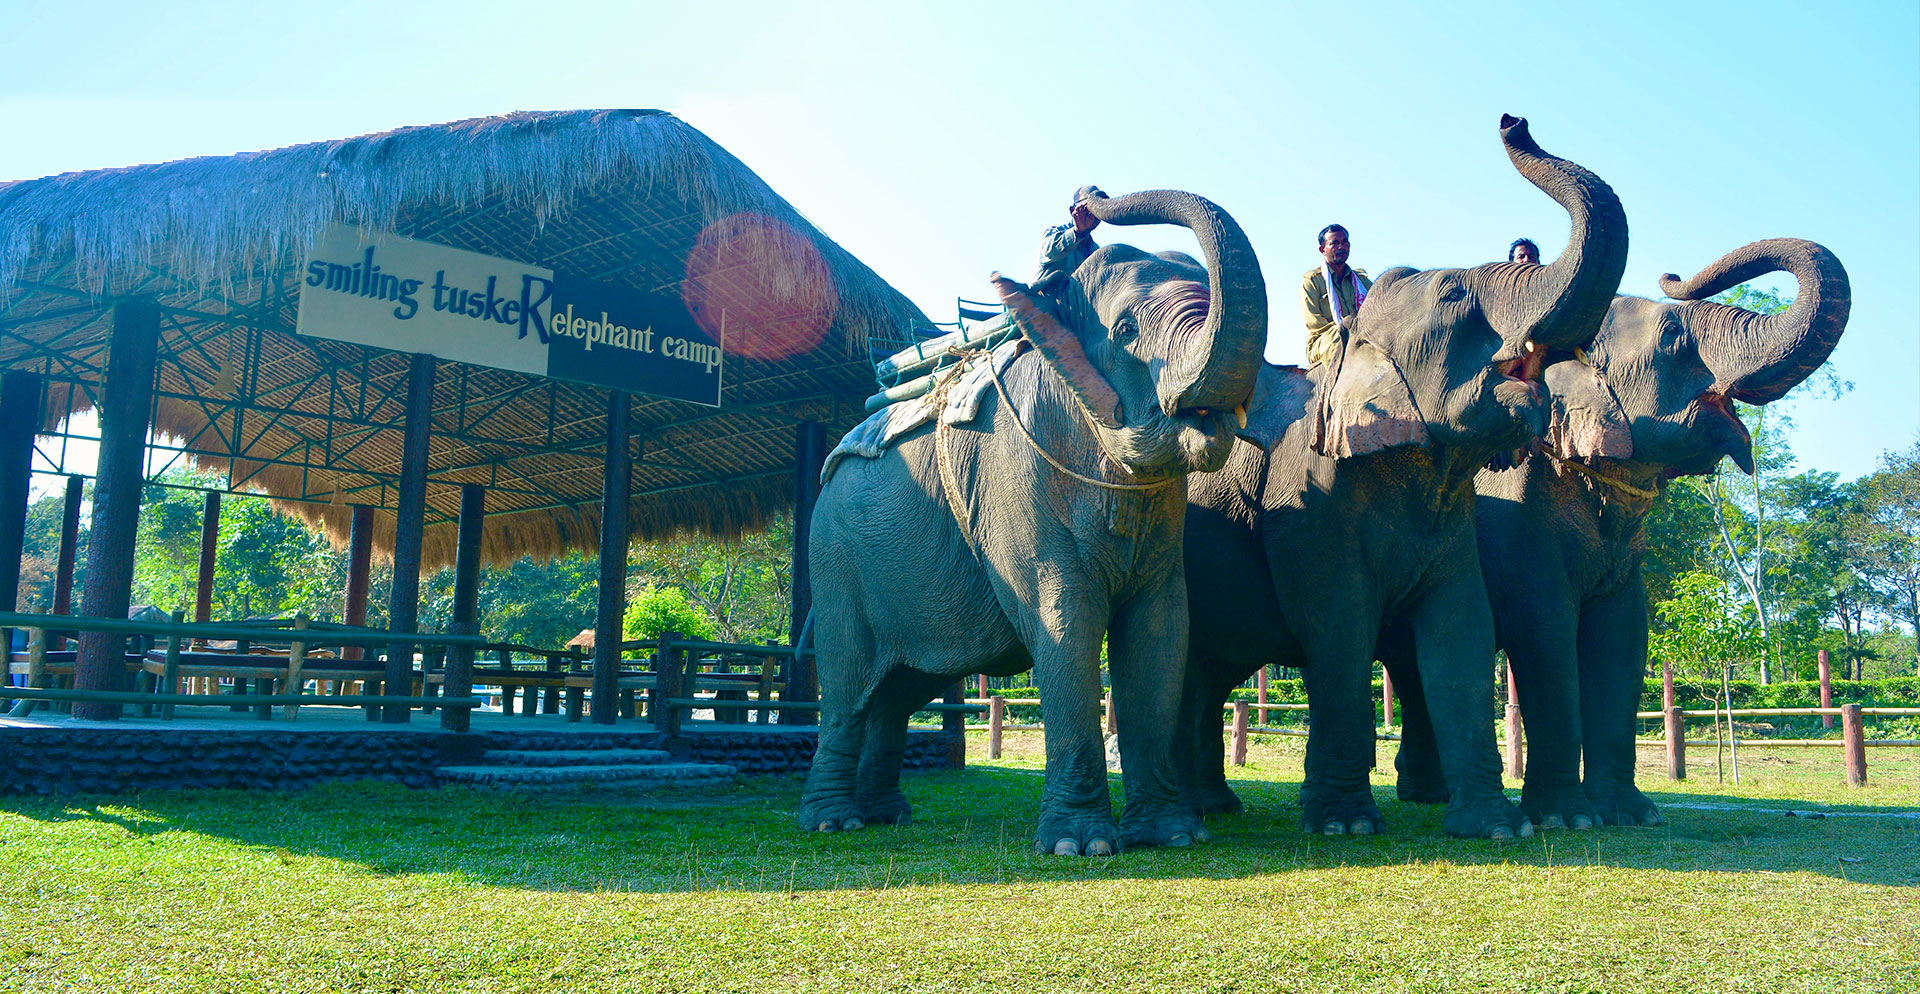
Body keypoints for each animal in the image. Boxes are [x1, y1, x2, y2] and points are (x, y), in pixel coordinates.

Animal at [798, 189, 1267, 855]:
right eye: (1126, 330)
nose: (1090, 199)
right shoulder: (1012, 475)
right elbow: (1065, 616)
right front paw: (1081, 847)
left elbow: (1162, 628)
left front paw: (1173, 836)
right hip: (836, 558)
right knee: (849, 685)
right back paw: (835, 822)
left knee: (900, 687)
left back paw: (888, 815)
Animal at [1175, 118, 1628, 848]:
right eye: (1453, 296)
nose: (1513, 122)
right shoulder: (1309, 509)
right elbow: (1339, 626)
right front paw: (1346, 826)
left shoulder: (1456, 519)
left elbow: (1461, 631)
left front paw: (1495, 829)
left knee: (1206, 672)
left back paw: (1214, 807)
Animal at [1390, 237, 1850, 828]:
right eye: (1674, 336)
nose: (1674, 276)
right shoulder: (1514, 521)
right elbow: (1545, 629)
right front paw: (1567, 820)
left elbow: (1624, 635)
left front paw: (1633, 816)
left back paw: (1427, 794)